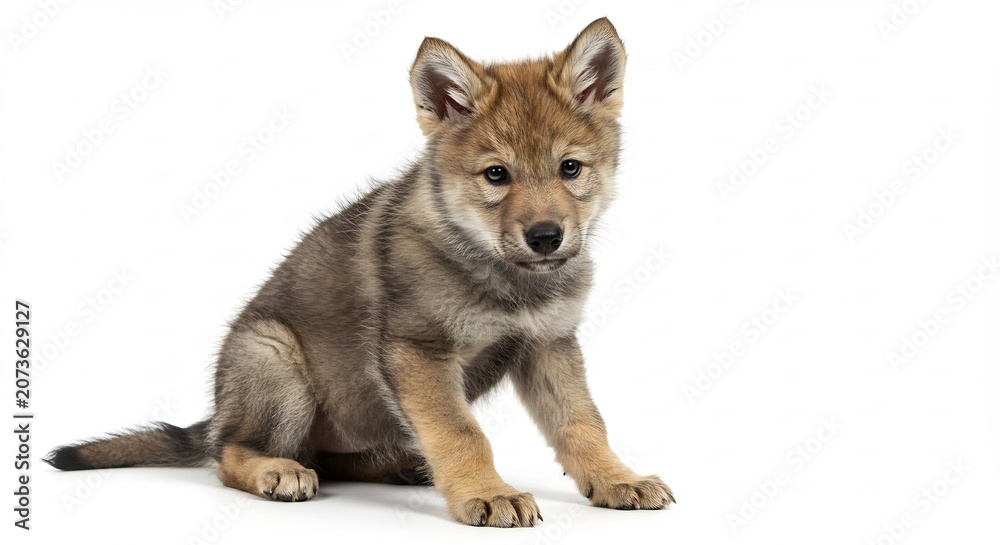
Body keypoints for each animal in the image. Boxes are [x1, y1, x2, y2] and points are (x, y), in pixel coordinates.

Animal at [45, 17, 674, 527]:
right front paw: (488, 492)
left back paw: (401, 464)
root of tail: (217, 412)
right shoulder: (420, 351)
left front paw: (617, 479)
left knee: (329, 457)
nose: (546, 237)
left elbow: (583, 423)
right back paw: (277, 471)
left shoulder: (549, 344)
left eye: (570, 168)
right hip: (276, 361)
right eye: (496, 175)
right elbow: (461, 432)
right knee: (229, 454)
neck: (504, 275)